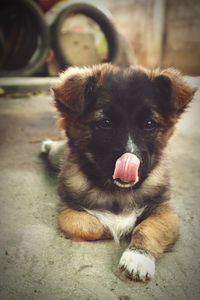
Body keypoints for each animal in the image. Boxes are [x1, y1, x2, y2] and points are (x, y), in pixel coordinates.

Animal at [41, 63, 196, 282]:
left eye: (149, 124)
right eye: (105, 123)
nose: (130, 161)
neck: (116, 190)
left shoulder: (164, 210)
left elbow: (149, 228)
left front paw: (138, 257)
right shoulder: (69, 210)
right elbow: (92, 225)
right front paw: (119, 229)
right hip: (57, 156)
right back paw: (47, 145)